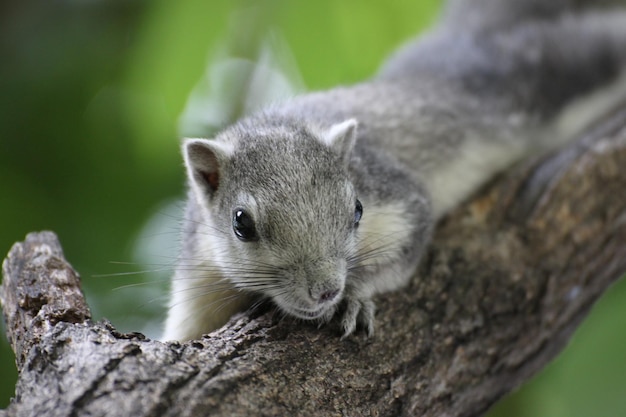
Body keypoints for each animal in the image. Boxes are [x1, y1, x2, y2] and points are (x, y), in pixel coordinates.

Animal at [162, 0, 624, 340]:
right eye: (241, 224)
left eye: (358, 210)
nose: (326, 290)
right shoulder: (198, 277)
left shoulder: (398, 197)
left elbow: (404, 253)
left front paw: (354, 295)